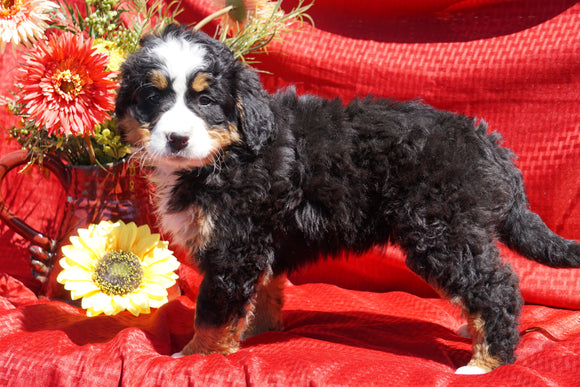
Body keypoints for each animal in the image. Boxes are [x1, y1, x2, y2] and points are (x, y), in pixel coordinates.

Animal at [114, 25, 580, 376]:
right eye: (152, 97)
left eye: (205, 100)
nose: (176, 139)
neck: (230, 153)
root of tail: (488, 142)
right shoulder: (259, 241)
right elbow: (261, 293)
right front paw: (257, 333)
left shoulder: (234, 244)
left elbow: (212, 309)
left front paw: (192, 355)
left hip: (441, 230)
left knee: (496, 285)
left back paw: (487, 361)